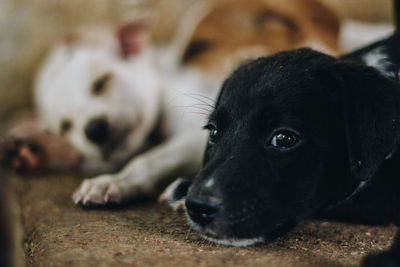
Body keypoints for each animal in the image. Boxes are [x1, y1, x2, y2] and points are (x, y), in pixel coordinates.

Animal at [0, 0, 340, 206]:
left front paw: (115, 181)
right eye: (65, 127)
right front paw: (32, 151)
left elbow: (149, 159)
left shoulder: (200, 133)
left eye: (102, 83)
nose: (94, 130)